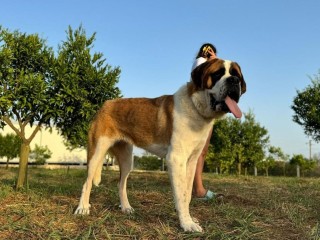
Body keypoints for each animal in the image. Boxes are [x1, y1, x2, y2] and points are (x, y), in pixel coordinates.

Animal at [75, 57, 248, 232]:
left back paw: (126, 207)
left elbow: (187, 193)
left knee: (121, 184)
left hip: (126, 160)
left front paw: (188, 219)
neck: (195, 106)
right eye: (218, 73)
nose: (234, 81)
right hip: (96, 152)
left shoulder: (192, 161)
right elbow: (181, 195)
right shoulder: (176, 159)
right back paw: (83, 208)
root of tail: (106, 104)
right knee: (86, 182)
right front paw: (187, 224)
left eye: (237, 75)